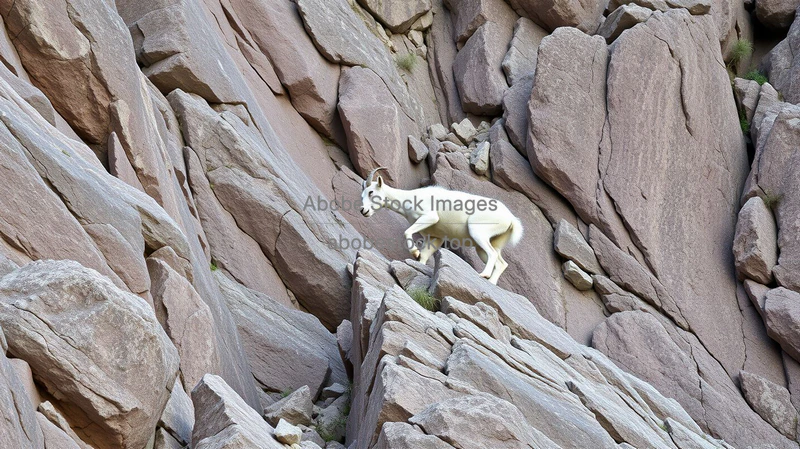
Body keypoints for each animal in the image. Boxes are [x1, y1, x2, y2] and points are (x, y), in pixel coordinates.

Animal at [360, 167, 523, 284]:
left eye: (371, 192)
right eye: (363, 195)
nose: (363, 211)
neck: (409, 198)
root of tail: (511, 219)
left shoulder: (430, 217)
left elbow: (407, 232)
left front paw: (414, 252)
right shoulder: (433, 236)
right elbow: (425, 255)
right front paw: (419, 259)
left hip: (478, 233)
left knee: (493, 254)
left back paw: (483, 274)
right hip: (488, 244)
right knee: (501, 263)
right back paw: (491, 282)